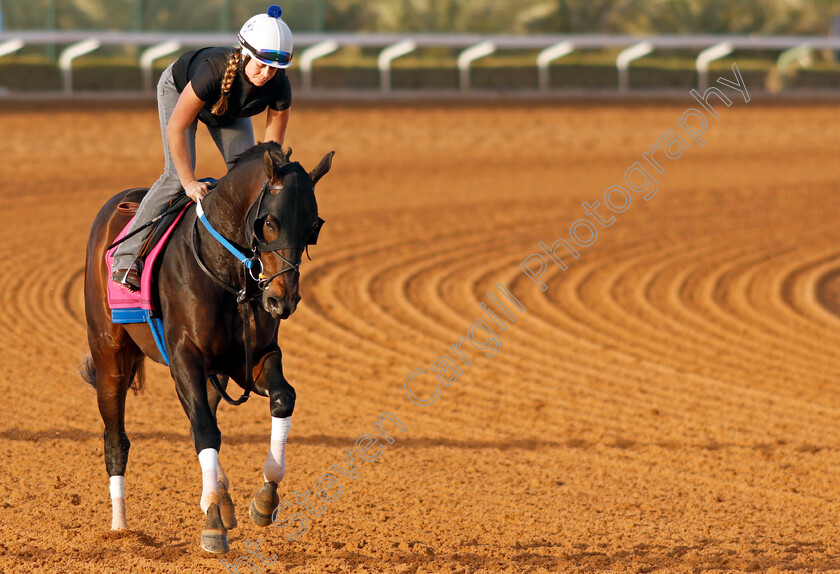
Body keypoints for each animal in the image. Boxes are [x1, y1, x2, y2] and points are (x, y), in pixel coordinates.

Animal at [80, 143, 334, 552]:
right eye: (270, 223)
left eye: (313, 228)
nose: (282, 300)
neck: (227, 272)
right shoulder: (186, 359)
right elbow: (204, 430)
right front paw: (213, 522)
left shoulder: (249, 359)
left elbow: (282, 398)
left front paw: (263, 499)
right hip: (109, 357)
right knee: (116, 438)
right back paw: (121, 529)